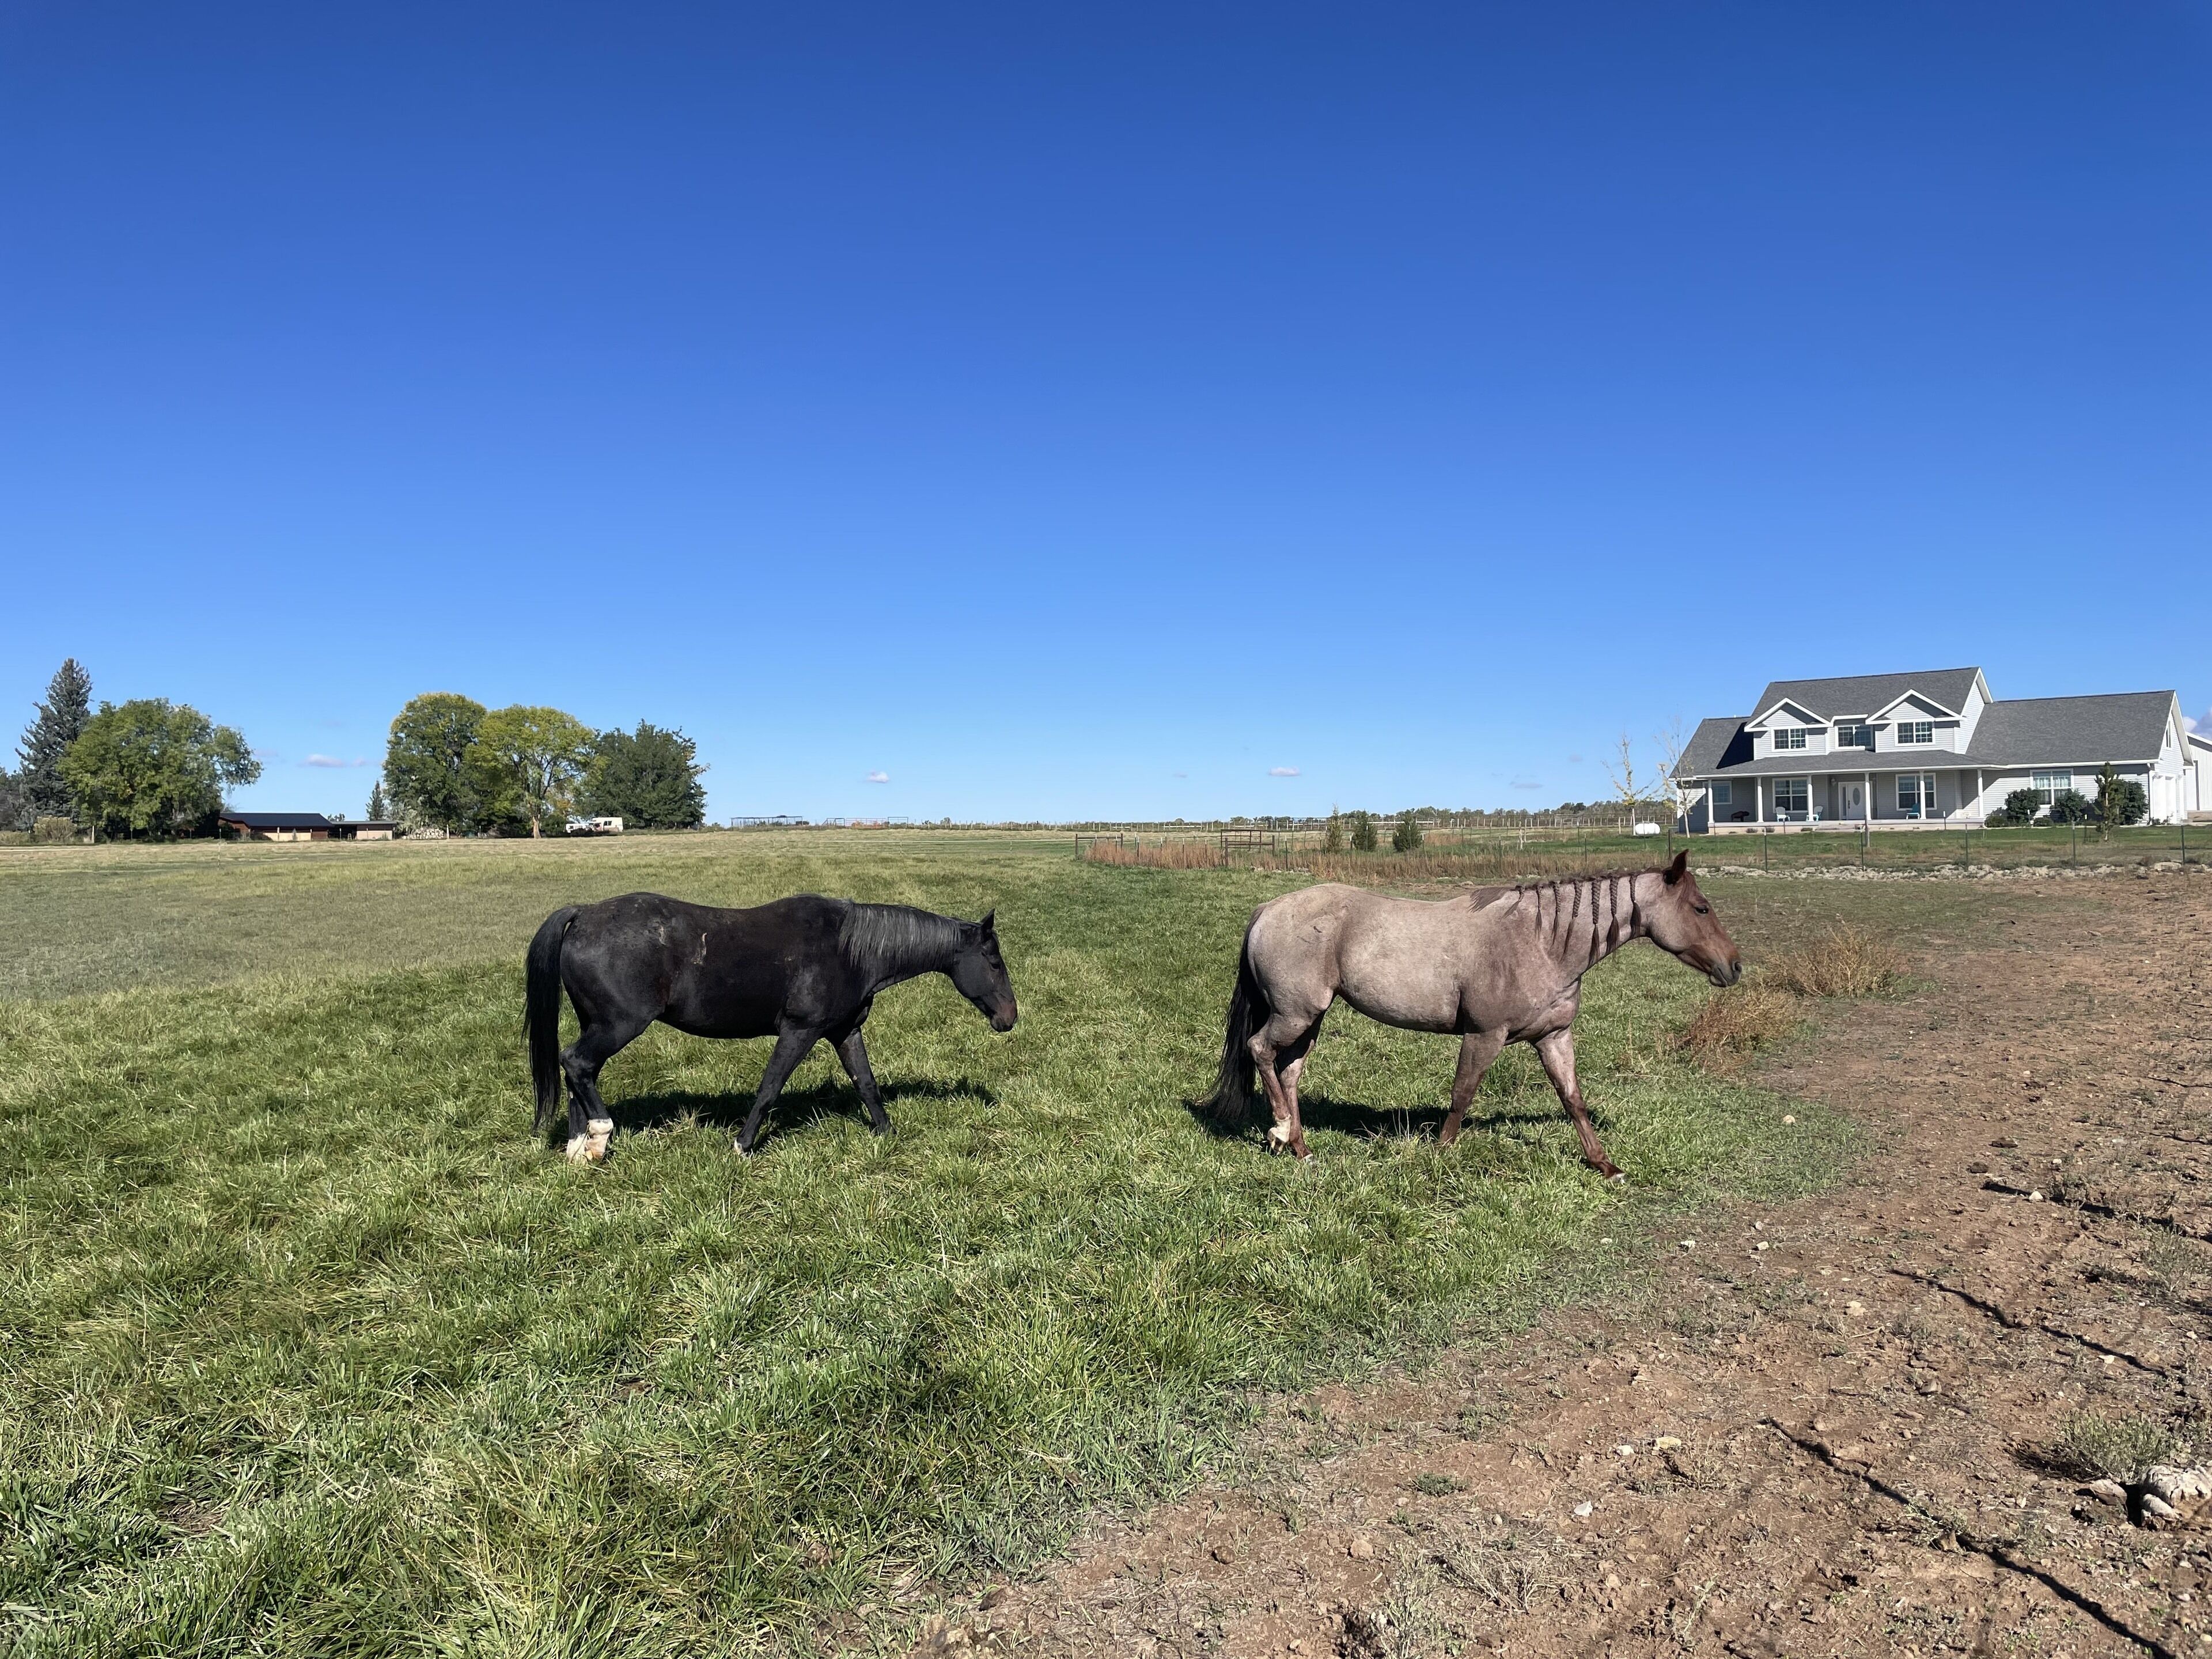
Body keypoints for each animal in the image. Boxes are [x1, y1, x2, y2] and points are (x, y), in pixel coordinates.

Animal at [525, 893, 1018, 1161]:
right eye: (993, 961)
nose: (1009, 1018)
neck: (850, 949)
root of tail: (584, 914)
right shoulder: (800, 1031)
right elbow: (769, 1088)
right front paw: (743, 1146)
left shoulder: (845, 1031)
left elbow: (866, 1084)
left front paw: (886, 1134)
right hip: (619, 1025)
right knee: (577, 1062)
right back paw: (600, 1134)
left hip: (598, 1024)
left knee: (579, 1071)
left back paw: (580, 1148)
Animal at [1198, 851, 1740, 1175]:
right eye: (1701, 908)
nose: (1734, 966)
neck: (1541, 941)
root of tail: (1267, 910)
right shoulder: (1484, 1035)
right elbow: (1462, 1095)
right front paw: (1441, 1153)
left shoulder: (1555, 1037)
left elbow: (1573, 1101)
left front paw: (1605, 1165)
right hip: (1295, 1014)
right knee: (1260, 1051)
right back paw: (1279, 1130)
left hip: (1309, 1020)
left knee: (1288, 1072)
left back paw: (1301, 1148)